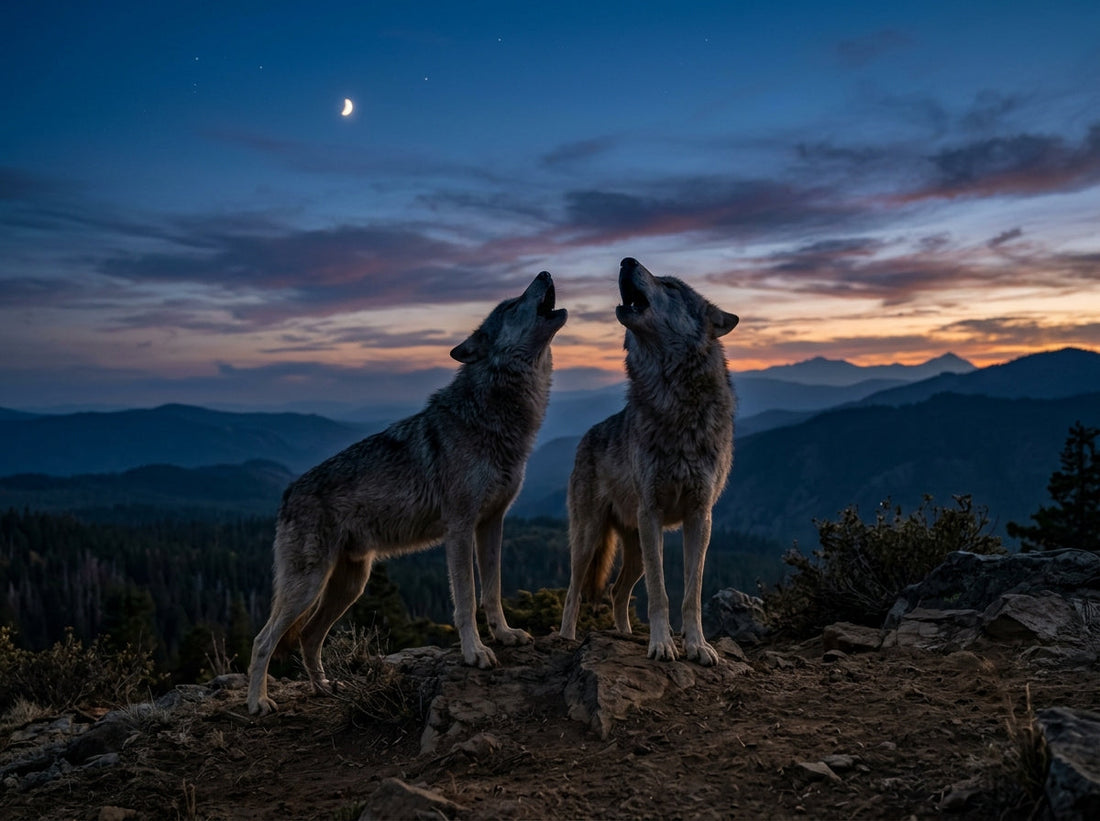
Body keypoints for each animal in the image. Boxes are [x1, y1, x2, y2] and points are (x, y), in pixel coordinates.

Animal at [247, 271, 567, 715]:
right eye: (510, 305)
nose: (544, 273)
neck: (494, 414)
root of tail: (287, 493)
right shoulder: (459, 529)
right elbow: (466, 598)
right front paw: (475, 653)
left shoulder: (492, 524)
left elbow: (493, 590)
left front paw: (504, 635)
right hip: (309, 584)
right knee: (264, 639)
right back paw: (258, 702)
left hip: (351, 584)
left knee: (309, 636)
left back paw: (324, 687)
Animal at [559, 257, 738, 666]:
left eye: (671, 286)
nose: (627, 260)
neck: (675, 401)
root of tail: (586, 436)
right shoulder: (652, 513)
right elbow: (661, 593)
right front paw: (661, 644)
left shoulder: (700, 517)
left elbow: (691, 593)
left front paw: (697, 645)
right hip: (591, 538)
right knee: (574, 591)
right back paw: (567, 638)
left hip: (637, 547)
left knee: (617, 591)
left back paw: (625, 634)